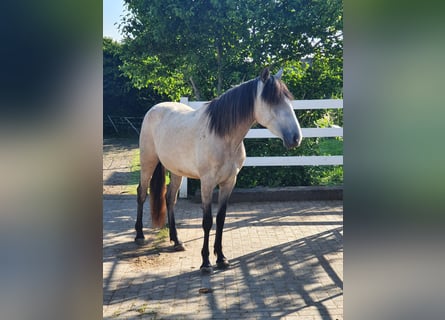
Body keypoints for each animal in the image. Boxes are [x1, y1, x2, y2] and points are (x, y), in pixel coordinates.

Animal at [135, 67, 302, 272]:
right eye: (273, 102)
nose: (296, 138)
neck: (223, 136)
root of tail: (154, 109)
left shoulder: (229, 182)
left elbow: (221, 219)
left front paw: (221, 258)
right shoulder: (207, 183)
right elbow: (207, 221)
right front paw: (206, 262)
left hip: (176, 171)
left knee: (170, 199)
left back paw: (176, 241)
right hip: (148, 162)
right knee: (142, 193)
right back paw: (140, 235)